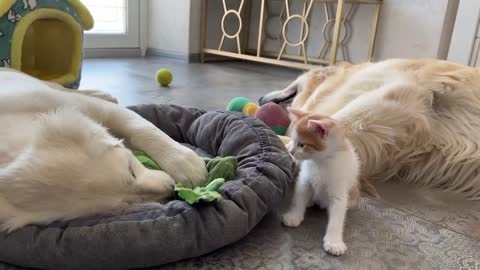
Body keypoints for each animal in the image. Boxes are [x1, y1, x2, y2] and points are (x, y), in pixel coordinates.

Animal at [284, 107, 358, 255]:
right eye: (293, 141)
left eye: (302, 144)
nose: (291, 151)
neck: (321, 161)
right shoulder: (304, 180)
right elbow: (298, 198)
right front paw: (294, 216)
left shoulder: (339, 188)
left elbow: (337, 217)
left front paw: (334, 242)